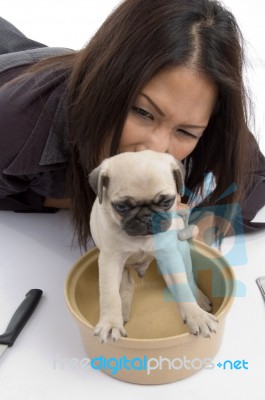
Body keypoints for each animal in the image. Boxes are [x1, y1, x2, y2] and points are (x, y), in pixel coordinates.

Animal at [88, 150, 217, 344]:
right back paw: (122, 311)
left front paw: (197, 316)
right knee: (127, 286)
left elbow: (182, 287)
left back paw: (199, 300)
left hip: (182, 252)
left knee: (188, 278)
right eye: (121, 207)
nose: (146, 217)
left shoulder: (170, 257)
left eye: (167, 202)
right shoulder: (110, 260)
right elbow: (110, 295)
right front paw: (110, 323)